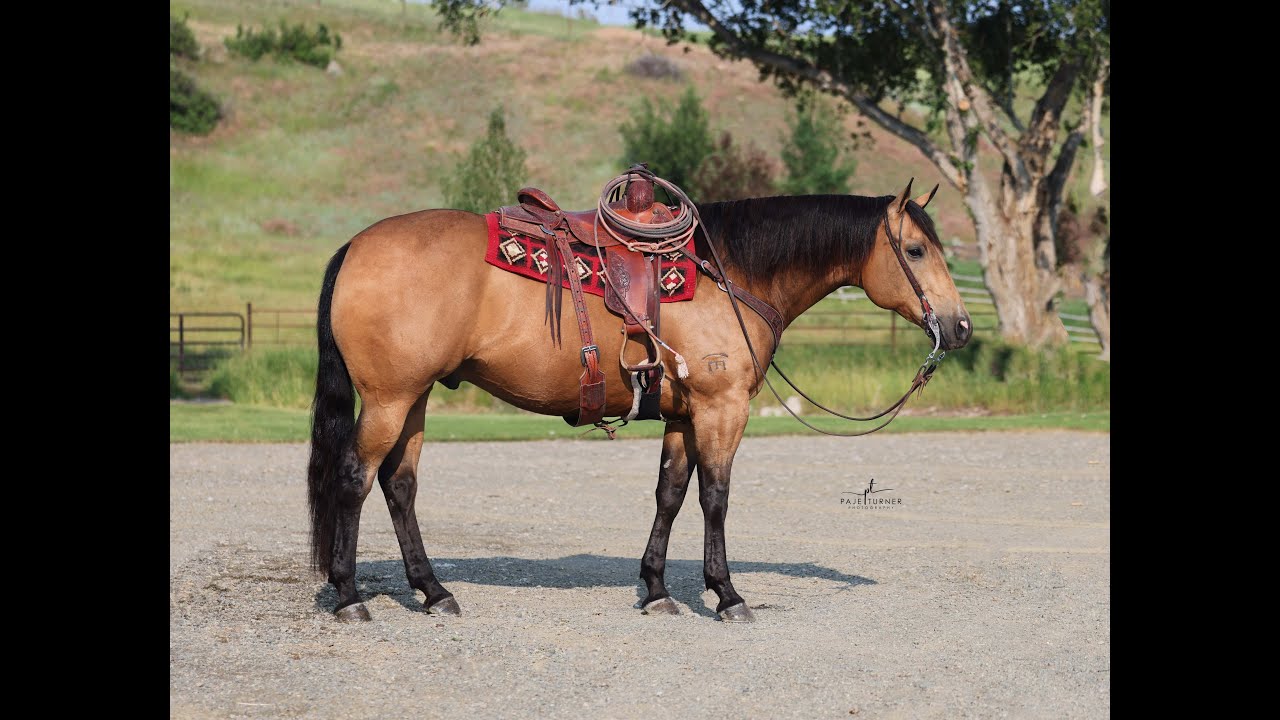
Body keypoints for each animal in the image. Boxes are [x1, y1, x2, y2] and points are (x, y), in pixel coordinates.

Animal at [307, 180, 971, 623]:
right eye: (916, 250)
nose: (960, 327)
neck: (731, 273)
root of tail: (356, 246)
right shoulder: (721, 408)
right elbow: (715, 498)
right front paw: (726, 594)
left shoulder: (684, 414)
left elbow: (670, 494)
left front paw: (656, 590)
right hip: (390, 400)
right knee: (354, 478)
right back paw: (349, 596)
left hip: (413, 399)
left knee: (399, 485)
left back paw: (434, 591)